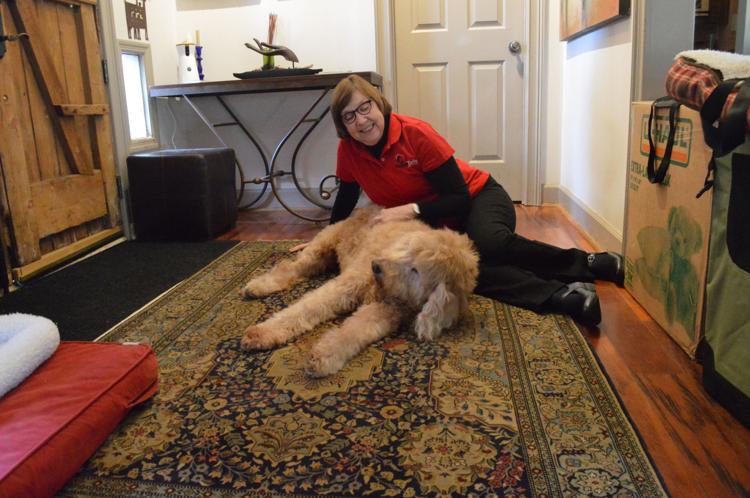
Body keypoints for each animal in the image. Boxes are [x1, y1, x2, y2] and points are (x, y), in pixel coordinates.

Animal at [242, 207, 482, 378]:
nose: (375, 266)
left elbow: (353, 332)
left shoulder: (384, 312)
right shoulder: (343, 286)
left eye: (416, 269)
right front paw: (262, 332)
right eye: (405, 249)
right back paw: (260, 286)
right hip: (322, 245)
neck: (382, 288)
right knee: (290, 268)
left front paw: (324, 356)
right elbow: (303, 309)